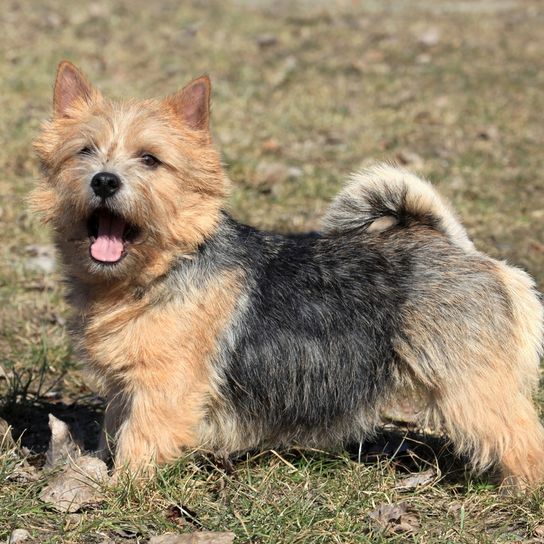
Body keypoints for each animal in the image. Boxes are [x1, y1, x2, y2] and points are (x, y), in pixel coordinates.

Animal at [33, 61, 544, 486]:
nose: (104, 180)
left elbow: (140, 441)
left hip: (473, 387)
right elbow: (115, 429)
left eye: (150, 159)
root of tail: (456, 246)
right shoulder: (125, 386)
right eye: (84, 152)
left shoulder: (163, 388)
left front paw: (122, 494)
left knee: (523, 437)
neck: (162, 268)